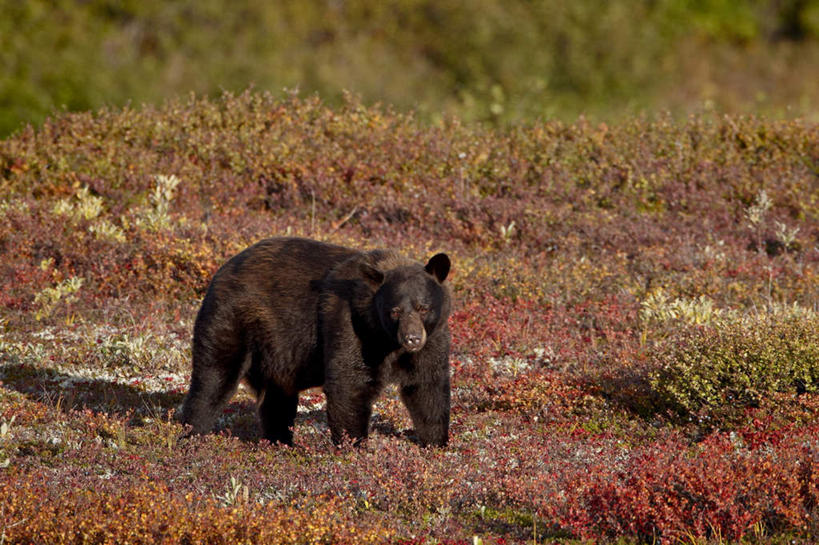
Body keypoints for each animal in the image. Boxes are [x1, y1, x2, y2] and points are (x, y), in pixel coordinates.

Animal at [177, 237, 454, 446]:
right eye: (394, 311)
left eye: (423, 307)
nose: (412, 338)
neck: (387, 341)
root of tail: (222, 270)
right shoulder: (350, 325)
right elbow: (349, 384)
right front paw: (354, 447)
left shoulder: (433, 340)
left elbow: (428, 388)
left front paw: (435, 443)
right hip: (230, 320)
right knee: (213, 380)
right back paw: (191, 434)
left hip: (275, 353)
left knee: (277, 400)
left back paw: (281, 443)